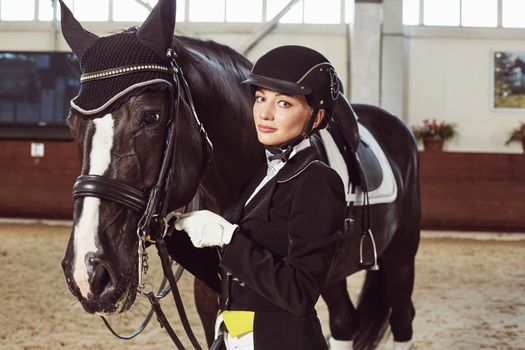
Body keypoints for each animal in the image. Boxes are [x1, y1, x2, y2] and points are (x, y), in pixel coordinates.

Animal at [59, 0, 420, 350]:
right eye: (71, 123)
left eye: (150, 116)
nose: (88, 273)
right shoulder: (210, 302)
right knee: (345, 321)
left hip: (401, 256)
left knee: (402, 318)